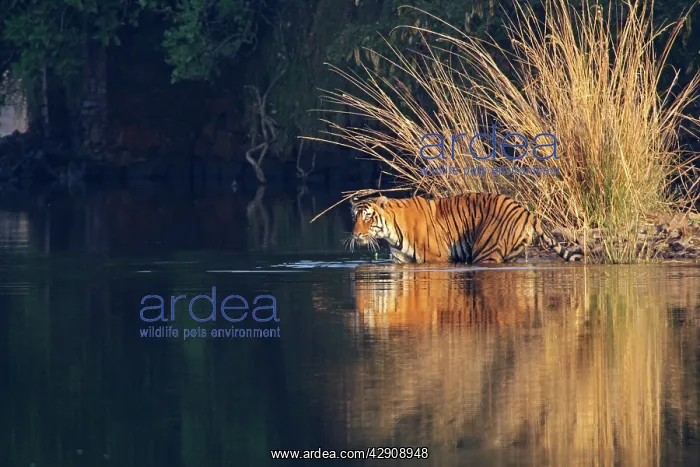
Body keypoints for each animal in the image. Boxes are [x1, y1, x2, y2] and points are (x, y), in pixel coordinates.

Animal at [347, 193, 583, 264]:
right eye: (354, 218)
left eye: (367, 217)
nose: (356, 234)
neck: (391, 233)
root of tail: (527, 212)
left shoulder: (436, 260)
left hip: (486, 251)